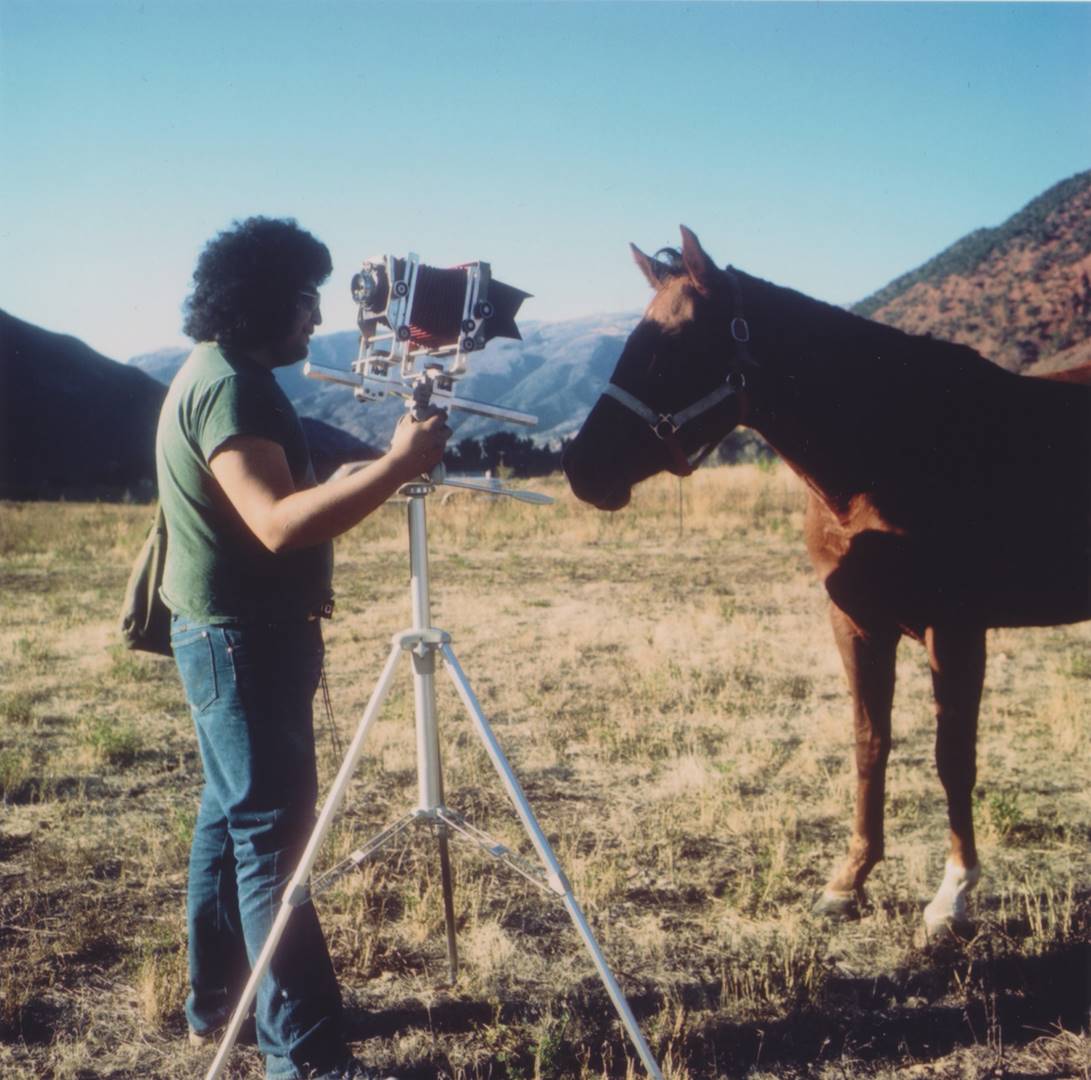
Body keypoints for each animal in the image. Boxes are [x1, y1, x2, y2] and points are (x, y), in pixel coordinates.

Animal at [562, 228, 1091, 938]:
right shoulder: (856, 623)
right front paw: (848, 882)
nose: (579, 467)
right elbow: (870, 745)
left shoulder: (956, 629)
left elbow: (953, 756)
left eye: (673, 347)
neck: (895, 449)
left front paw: (952, 894)